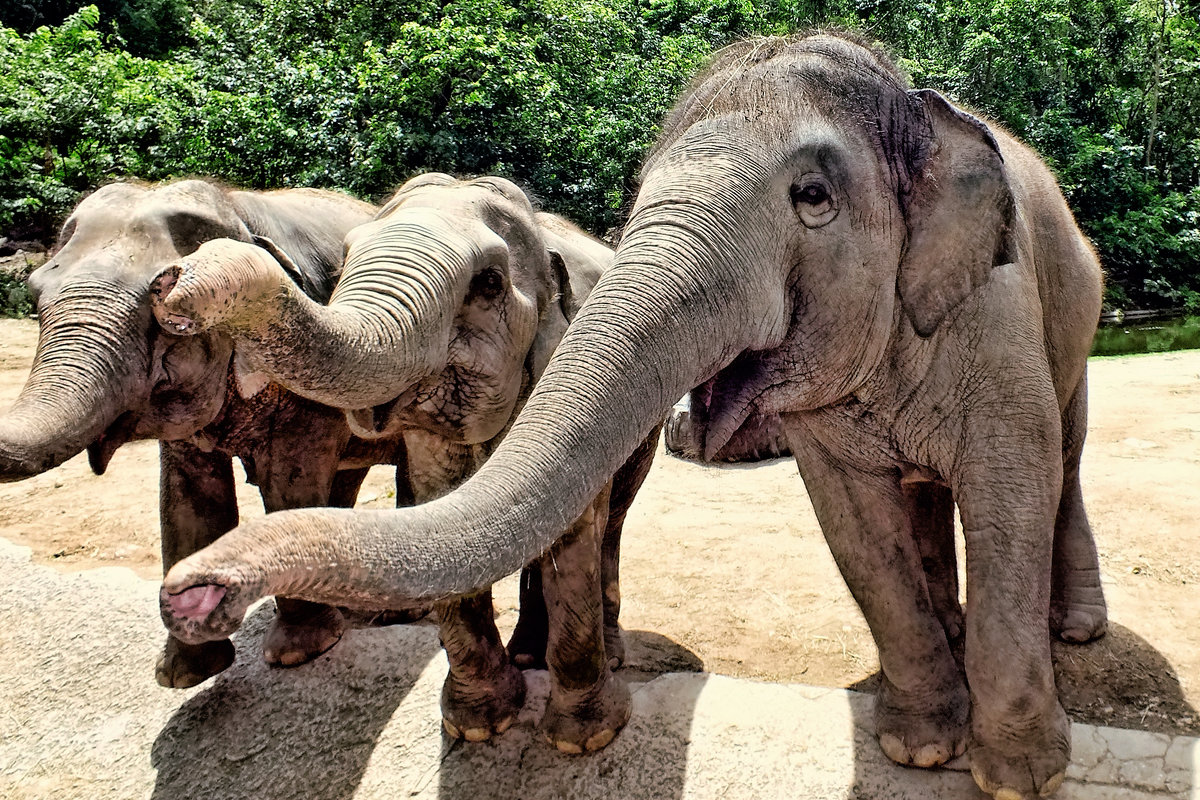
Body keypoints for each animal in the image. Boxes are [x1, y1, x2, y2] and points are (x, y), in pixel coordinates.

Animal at [1, 181, 412, 690]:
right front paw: (183, 674)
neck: (239, 210)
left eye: (163, 314)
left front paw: (299, 652)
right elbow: (189, 500)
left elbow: (290, 482)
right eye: (36, 294)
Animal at [148, 173, 662, 753]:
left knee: (613, 519)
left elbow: (574, 530)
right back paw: (528, 652)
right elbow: (439, 494)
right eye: (345, 259)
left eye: (489, 283)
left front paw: (582, 740)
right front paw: (478, 725)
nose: (172, 278)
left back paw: (602, 653)